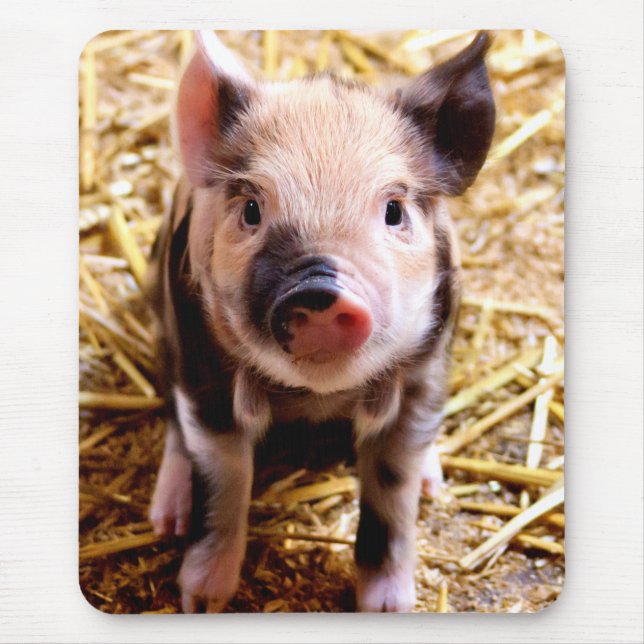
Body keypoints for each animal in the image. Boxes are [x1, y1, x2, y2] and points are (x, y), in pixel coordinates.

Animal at [147, 30, 495, 613]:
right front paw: (200, 601)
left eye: (394, 210)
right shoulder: (203, 370)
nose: (319, 290)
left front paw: (388, 607)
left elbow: (392, 489)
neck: (317, 398)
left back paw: (433, 483)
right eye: (251, 209)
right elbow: (224, 479)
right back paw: (165, 519)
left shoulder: (424, 374)